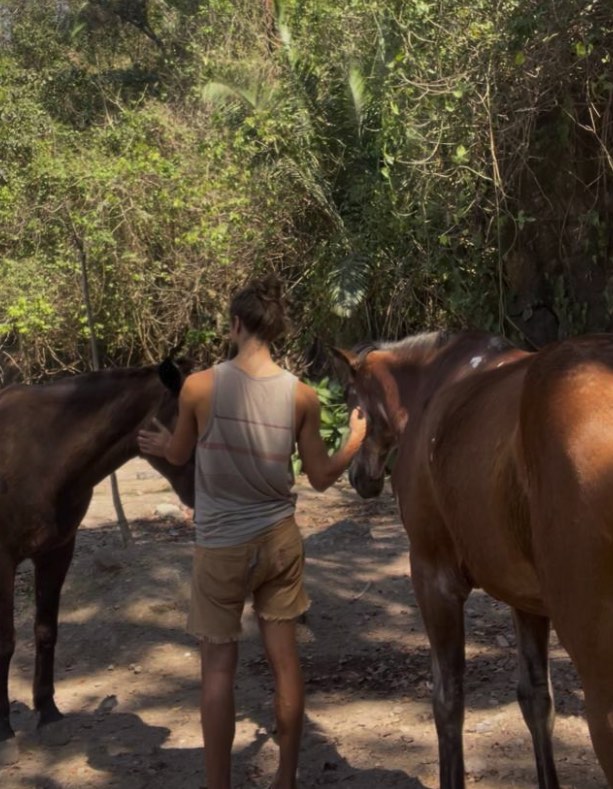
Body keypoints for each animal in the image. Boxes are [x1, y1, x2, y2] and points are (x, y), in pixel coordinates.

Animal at [0, 359, 195, 741]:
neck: (42, 452)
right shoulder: (2, 560)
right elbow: (5, 642)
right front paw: (2, 729)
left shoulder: (57, 551)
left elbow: (46, 630)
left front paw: (47, 709)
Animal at [333, 330, 613, 789]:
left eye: (348, 396)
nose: (360, 477)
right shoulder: (526, 600)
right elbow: (536, 699)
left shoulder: (434, 579)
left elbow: (448, 701)